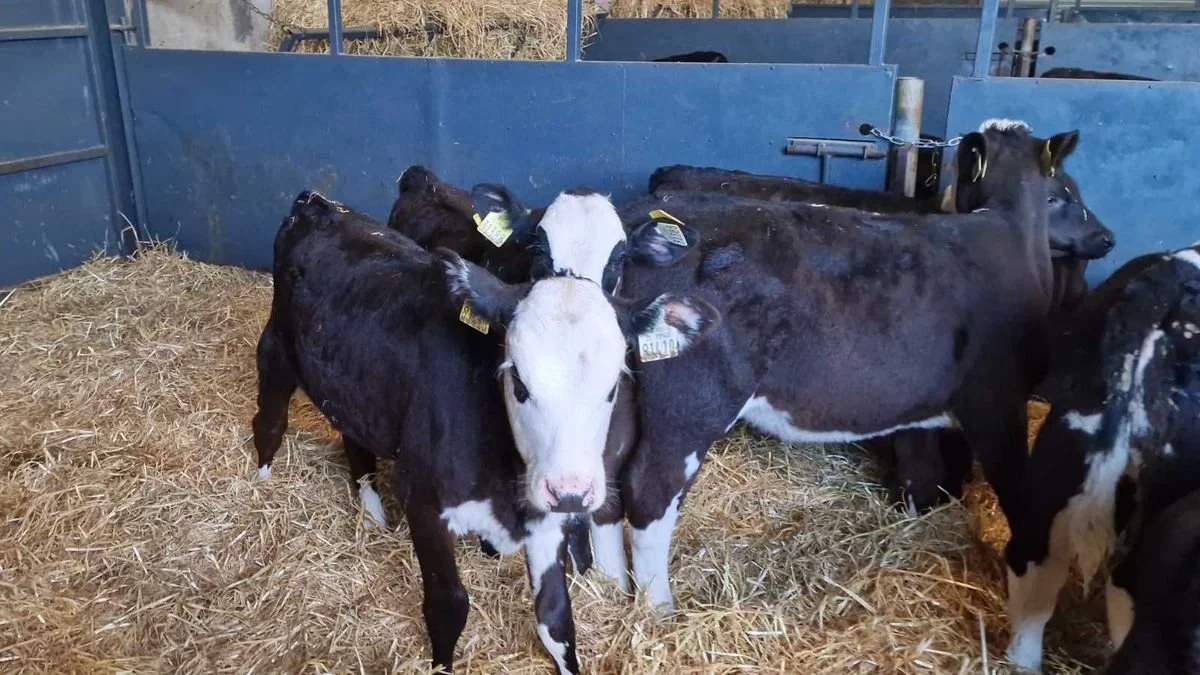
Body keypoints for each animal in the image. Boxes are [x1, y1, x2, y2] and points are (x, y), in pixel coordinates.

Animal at [251, 190, 718, 673]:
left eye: (613, 386)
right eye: (517, 381)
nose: (571, 491)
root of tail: (319, 202)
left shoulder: (545, 521)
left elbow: (556, 620)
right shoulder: (424, 503)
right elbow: (448, 606)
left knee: (354, 437)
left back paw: (373, 513)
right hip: (276, 349)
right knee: (269, 419)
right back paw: (261, 483)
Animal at [597, 119, 1082, 613]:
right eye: (1060, 196)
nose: (1101, 239)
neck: (1009, 230)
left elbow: (921, 470)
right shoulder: (997, 402)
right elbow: (1017, 494)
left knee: (607, 481)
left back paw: (608, 587)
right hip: (694, 397)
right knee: (650, 490)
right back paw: (658, 608)